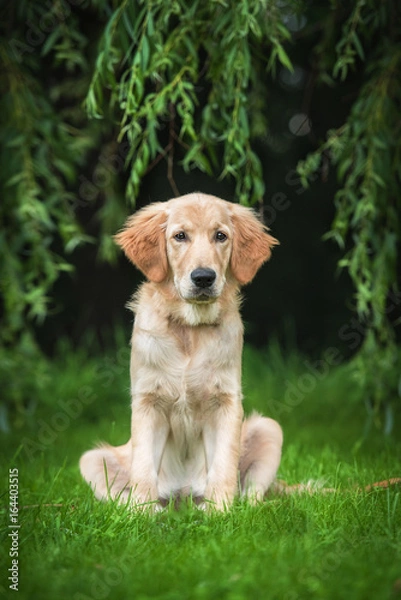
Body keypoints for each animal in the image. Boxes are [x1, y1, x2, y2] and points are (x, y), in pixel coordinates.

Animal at [79, 192, 282, 510]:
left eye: (220, 236)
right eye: (180, 236)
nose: (203, 278)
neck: (190, 328)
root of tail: (182, 498)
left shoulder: (226, 401)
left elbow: (223, 464)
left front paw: (221, 512)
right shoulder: (148, 401)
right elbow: (144, 468)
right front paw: (141, 514)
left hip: (269, 428)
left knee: (252, 495)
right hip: (92, 459)